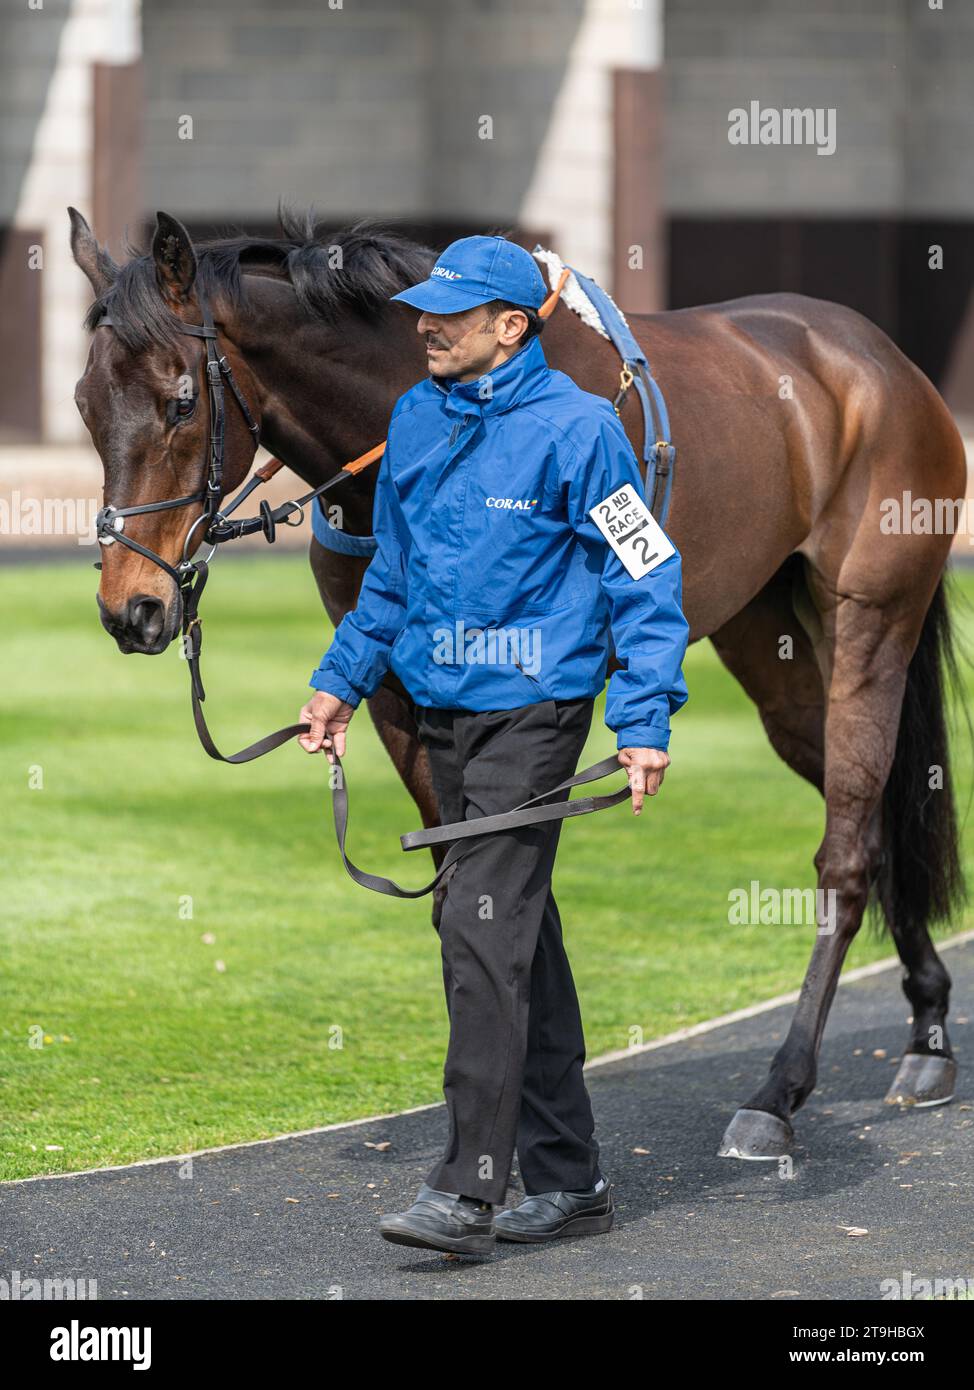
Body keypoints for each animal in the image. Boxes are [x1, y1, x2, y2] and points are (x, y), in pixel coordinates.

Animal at [68, 208, 967, 1162]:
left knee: (847, 848)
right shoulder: (399, 697)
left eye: (180, 402)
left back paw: (780, 1090)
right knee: (873, 816)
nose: (133, 609)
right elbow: (459, 885)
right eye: (85, 404)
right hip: (775, 647)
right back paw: (928, 1031)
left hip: (871, 617)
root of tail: (874, 356)